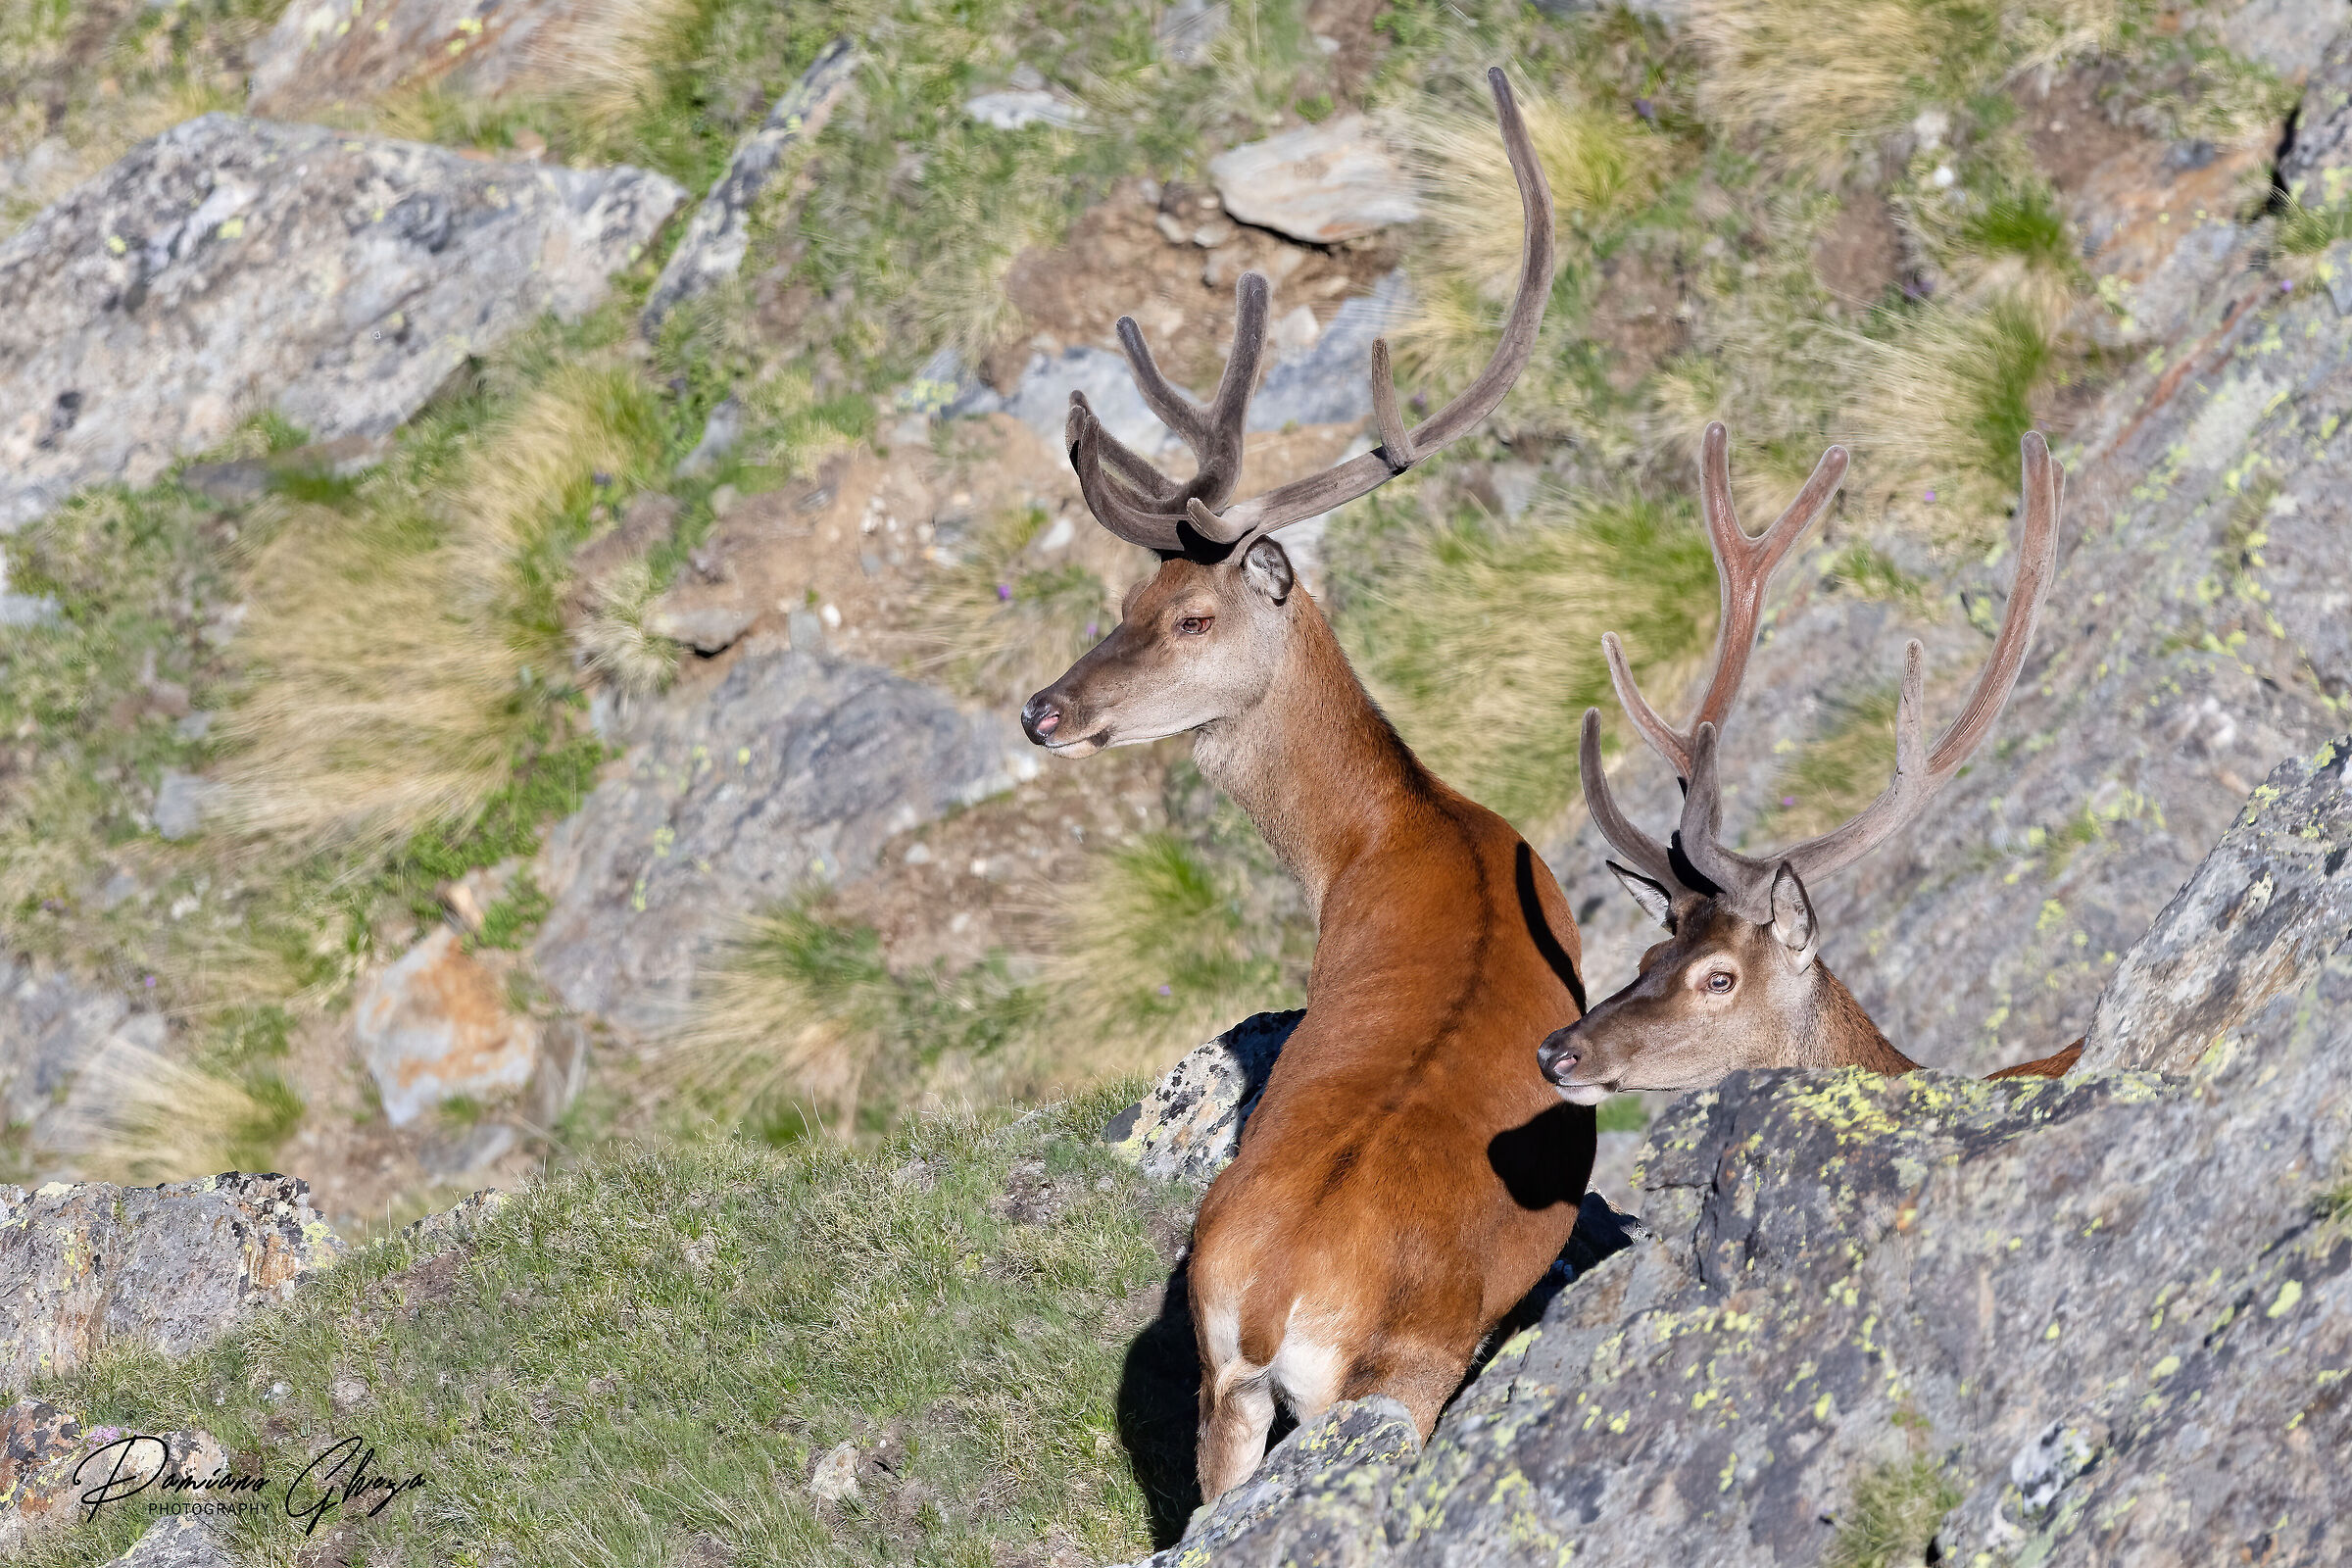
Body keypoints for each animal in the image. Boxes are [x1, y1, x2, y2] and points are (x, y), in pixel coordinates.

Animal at [1017, 71, 1595, 1502]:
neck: (1396, 829)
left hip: (1219, 1384)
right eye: (1130, 602)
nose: (1042, 709)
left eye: (1181, 616)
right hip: (1403, 1379)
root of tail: (1276, 1300)